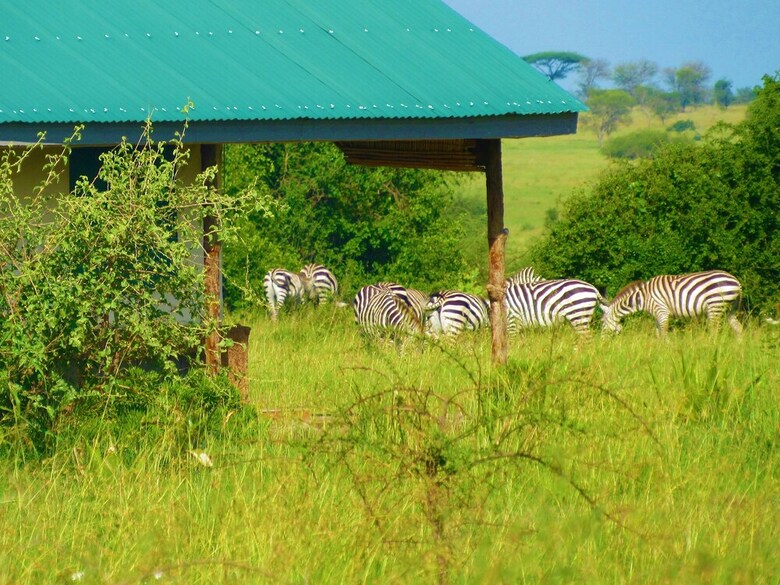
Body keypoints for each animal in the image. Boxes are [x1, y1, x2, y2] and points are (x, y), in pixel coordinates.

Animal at [601, 270, 743, 336]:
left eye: (602, 323)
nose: (602, 343)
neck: (643, 298)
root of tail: (736, 281)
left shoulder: (661, 311)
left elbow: (664, 333)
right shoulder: (657, 315)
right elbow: (658, 334)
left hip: (715, 306)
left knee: (714, 331)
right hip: (730, 309)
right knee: (738, 328)